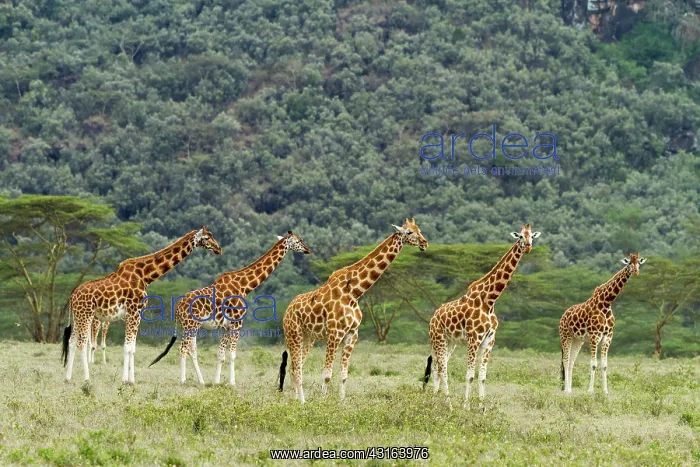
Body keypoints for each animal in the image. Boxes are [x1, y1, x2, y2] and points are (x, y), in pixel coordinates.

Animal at [61, 226, 222, 384]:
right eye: (207, 238)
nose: (219, 249)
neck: (145, 276)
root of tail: (72, 296)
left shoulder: (136, 314)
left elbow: (132, 348)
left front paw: (131, 380)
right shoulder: (133, 312)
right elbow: (127, 347)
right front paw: (125, 380)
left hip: (78, 316)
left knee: (72, 341)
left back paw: (68, 378)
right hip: (86, 315)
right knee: (81, 343)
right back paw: (86, 379)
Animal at [148, 231, 311, 385]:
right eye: (298, 241)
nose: (308, 249)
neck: (244, 286)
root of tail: (178, 306)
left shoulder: (225, 327)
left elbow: (221, 355)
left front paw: (216, 381)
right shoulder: (237, 323)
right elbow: (232, 354)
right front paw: (232, 383)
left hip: (190, 326)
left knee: (191, 349)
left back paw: (201, 381)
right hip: (191, 325)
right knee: (183, 348)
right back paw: (182, 380)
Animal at [278, 218, 428, 403]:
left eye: (419, 229)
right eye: (409, 232)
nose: (424, 243)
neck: (354, 292)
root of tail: (287, 310)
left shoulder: (352, 334)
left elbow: (343, 375)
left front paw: (342, 402)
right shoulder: (335, 333)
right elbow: (327, 374)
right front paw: (322, 402)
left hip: (308, 338)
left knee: (295, 367)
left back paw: (295, 399)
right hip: (294, 334)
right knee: (296, 368)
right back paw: (301, 401)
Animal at [423, 224, 541, 407]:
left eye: (532, 236)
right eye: (520, 236)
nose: (528, 246)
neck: (490, 300)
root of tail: (433, 318)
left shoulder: (489, 340)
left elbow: (483, 377)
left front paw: (482, 408)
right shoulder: (474, 338)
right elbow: (470, 375)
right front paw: (466, 407)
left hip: (450, 342)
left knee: (437, 368)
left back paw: (435, 402)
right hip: (438, 338)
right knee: (443, 369)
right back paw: (449, 406)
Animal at [559, 252, 646, 395]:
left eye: (639, 262)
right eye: (629, 263)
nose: (636, 271)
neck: (606, 303)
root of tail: (563, 316)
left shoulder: (608, 336)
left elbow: (604, 365)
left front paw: (605, 391)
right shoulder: (594, 336)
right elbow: (593, 364)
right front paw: (590, 390)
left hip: (577, 340)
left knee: (571, 361)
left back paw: (570, 389)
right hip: (565, 336)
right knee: (565, 360)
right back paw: (566, 390)